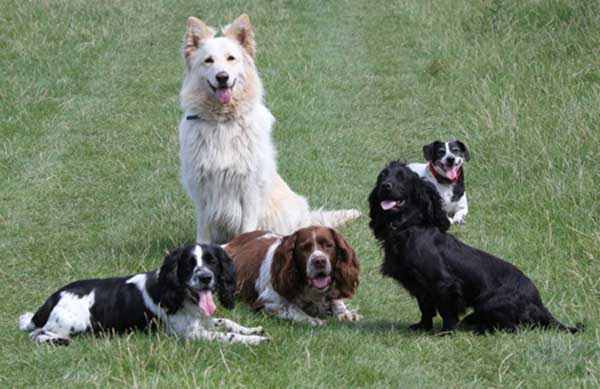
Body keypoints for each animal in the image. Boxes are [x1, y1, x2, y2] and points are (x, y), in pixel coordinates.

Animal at [177, 15, 356, 242]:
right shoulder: (201, 191)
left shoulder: (249, 190)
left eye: (231, 58)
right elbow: (203, 233)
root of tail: (307, 216)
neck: (223, 122)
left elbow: (247, 229)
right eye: (208, 60)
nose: (222, 77)